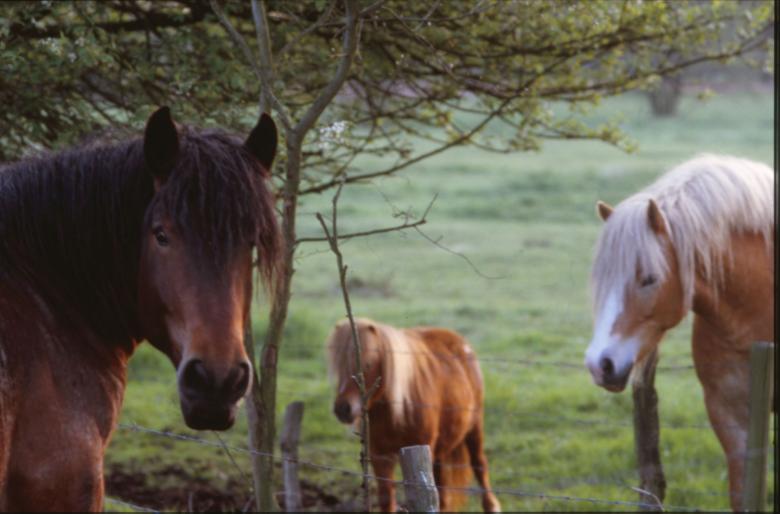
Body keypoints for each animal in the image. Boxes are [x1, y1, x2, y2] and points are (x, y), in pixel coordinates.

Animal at [327, 318, 501, 512]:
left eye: (368, 363)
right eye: (338, 364)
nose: (343, 408)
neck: (396, 410)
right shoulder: (380, 457)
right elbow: (386, 499)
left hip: (474, 427)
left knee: (479, 464)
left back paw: (491, 505)